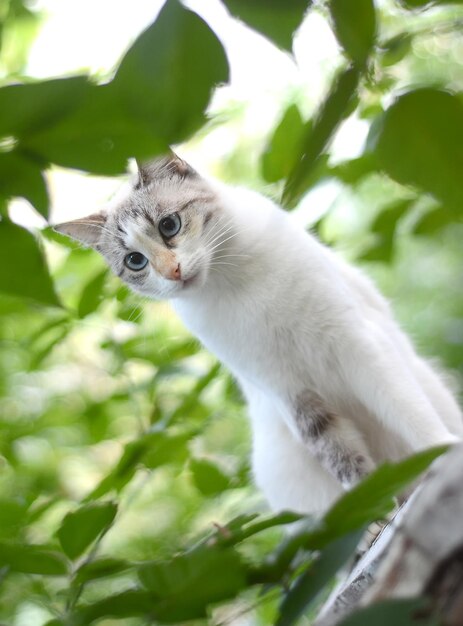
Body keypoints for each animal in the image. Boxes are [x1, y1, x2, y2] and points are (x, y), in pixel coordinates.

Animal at [56, 157, 462, 516]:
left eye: (169, 226)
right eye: (135, 261)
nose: (173, 273)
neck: (233, 281)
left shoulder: (357, 346)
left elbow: (413, 418)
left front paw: (443, 457)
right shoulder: (290, 393)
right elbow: (344, 461)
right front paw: (370, 517)